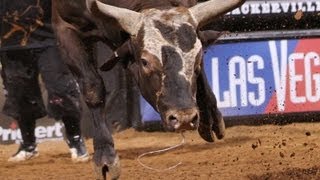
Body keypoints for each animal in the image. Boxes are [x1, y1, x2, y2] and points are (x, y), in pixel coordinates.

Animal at [51, 0, 244, 179]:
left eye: (197, 58)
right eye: (144, 62)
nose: (183, 118)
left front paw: (209, 119)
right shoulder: (66, 26)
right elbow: (92, 87)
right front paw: (105, 157)